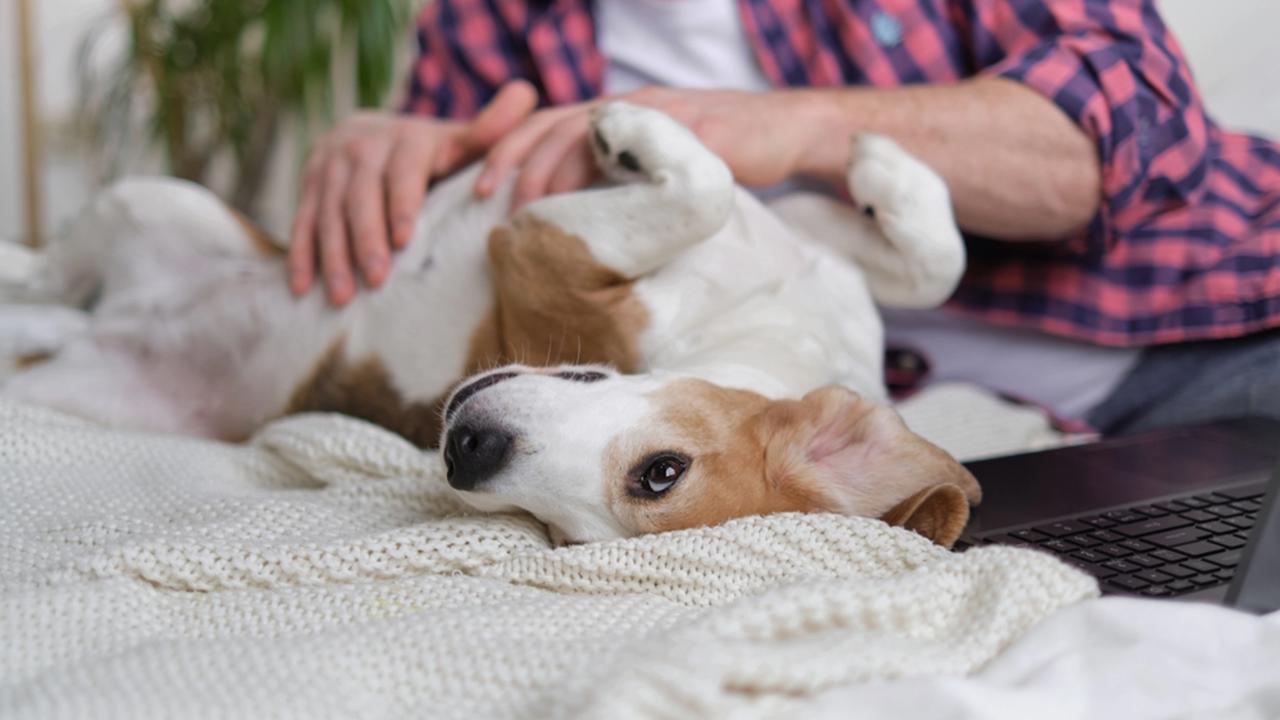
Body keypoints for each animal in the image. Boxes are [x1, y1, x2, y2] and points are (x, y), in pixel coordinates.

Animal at [2, 102, 977, 543]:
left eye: (558, 536)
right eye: (663, 471)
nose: (467, 454)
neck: (757, 315)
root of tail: (104, 327)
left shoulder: (534, 245)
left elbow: (709, 188)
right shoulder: (809, 242)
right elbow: (937, 259)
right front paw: (883, 164)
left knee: (43, 297)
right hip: (159, 200)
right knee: (48, 273)